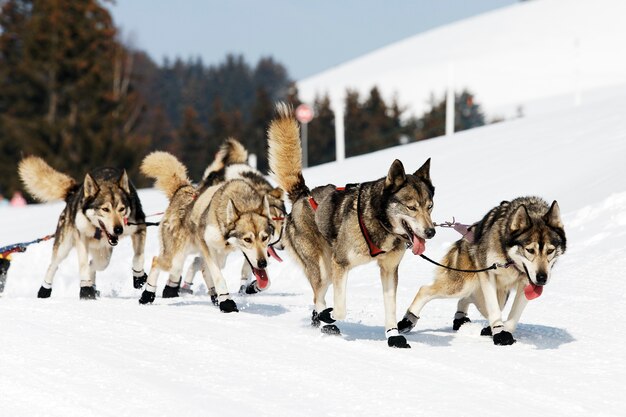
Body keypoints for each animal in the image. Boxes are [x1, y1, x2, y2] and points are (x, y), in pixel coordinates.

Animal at [18, 154, 146, 298]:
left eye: (122, 209)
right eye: (105, 209)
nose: (118, 229)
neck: (98, 229)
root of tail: (74, 192)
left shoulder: (139, 227)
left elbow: (138, 256)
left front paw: (139, 277)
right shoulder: (81, 236)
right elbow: (83, 263)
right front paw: (85, 289)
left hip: (103, 253)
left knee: (96, 264)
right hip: (64, 246)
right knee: (53, 265)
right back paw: (45, 289)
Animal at [140, 151, 272, 310]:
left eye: (264, 238)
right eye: (247, 239)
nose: (263, 263)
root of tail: (182, 189)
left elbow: (266, 282)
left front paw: (253, 287)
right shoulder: (208, 247)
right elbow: (218, 277)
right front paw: (227, 303)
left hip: (216, 258)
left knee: (203, 270)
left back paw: (215, 297)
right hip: (176, 260)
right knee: (156, 261)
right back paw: (147, 295)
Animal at [179, 138, 284, 298]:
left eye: (282, 222)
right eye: (273, 222)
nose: (282, 245)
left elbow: (258, 274)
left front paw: (251, 286)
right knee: (200, 262)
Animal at [266, 104, 434, 348]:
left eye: (430, 206)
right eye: (411, 207)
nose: (431, 232)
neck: (379, 221)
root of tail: (303, 195)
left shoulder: (389, 269)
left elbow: (390, 307)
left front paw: (393, 335)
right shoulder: (341, 264)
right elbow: (340, 308)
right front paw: (329, 315)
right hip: (323, 268)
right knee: (318, 296)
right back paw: (324, 321)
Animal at [400, 195, 564, 344]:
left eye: (550, 251)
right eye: (530, 250)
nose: (542, 278)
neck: (509, 260)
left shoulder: (526, 282)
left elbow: (514, 315)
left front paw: (505, 330)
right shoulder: (488, 274)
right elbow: (494, 310)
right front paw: (499, 332)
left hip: (494, 295)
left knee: (467, 299)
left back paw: (462, 319)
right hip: (463, 284)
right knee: (425, 290)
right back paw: (409, 320)